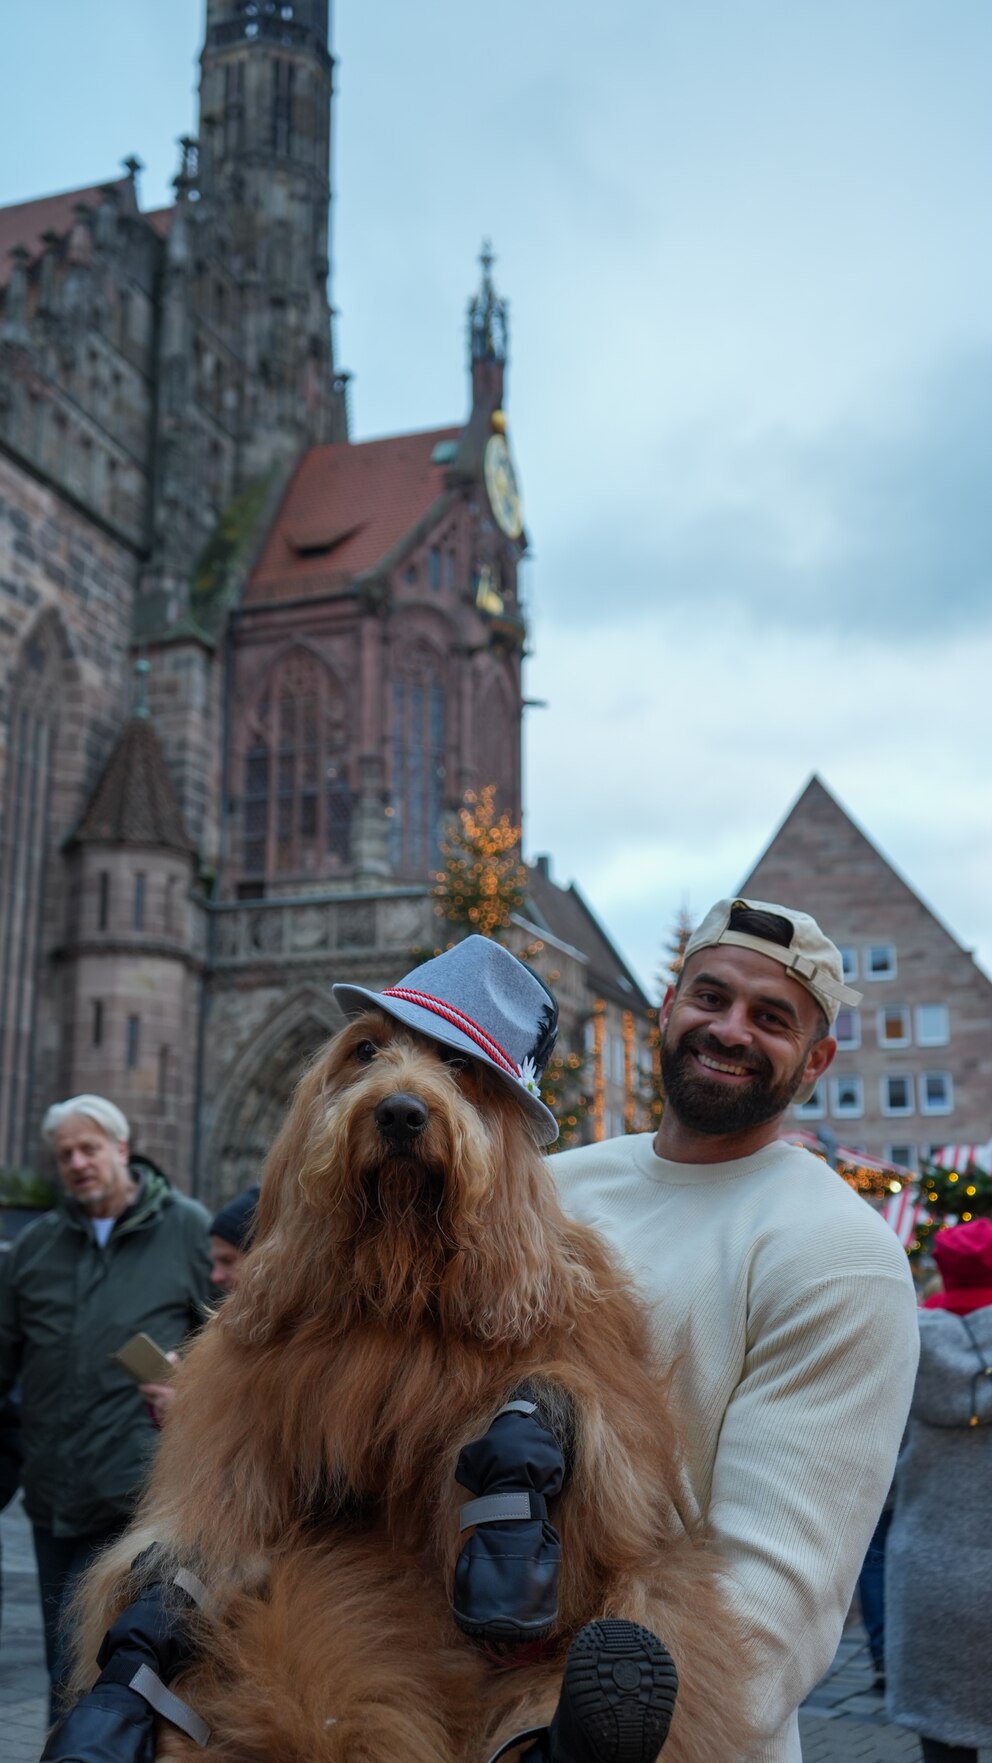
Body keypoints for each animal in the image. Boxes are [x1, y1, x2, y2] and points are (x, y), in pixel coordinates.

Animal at [73, 1008, 750, 1763]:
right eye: (365, 1048)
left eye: (458, 1065)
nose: (401, 1111)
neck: (402, 1298)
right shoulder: (235, 1455)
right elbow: (195, 1548)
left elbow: (567, 1447)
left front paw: (517, 1475)